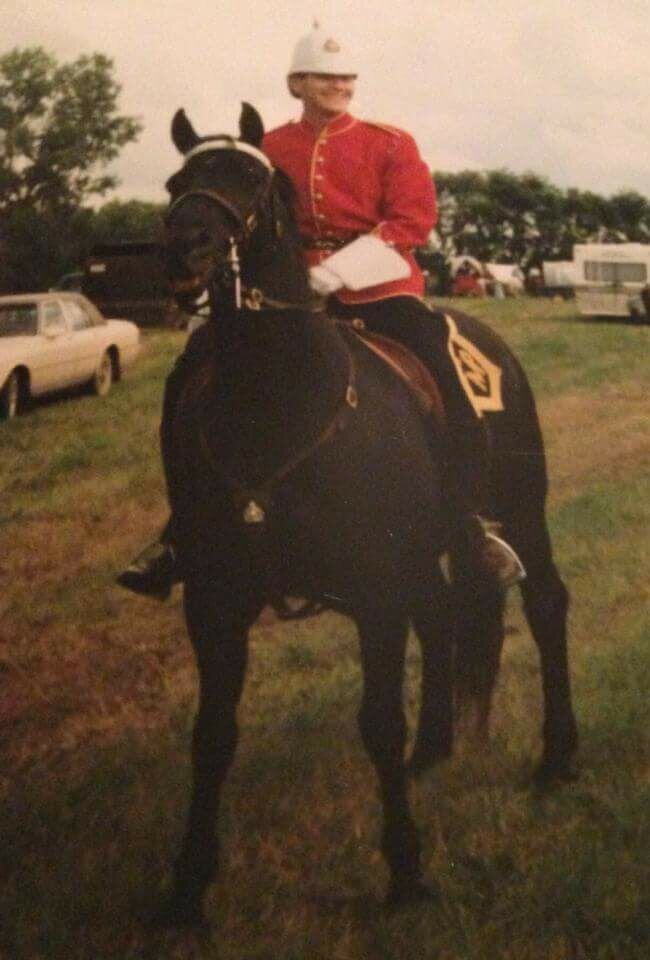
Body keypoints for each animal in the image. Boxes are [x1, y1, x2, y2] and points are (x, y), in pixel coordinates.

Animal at [156, 105, 572, 924]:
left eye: (252, 177)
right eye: (177, 179)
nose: (186, 246)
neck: (277, 409)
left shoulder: (377, 591)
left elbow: (378, 721)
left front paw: (405, 871)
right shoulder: (213, 601)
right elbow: (212, 735)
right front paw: (188, 884)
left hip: (521, 508)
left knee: (544, 603)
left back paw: (555, 760)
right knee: (442, 612)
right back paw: (434, 752)